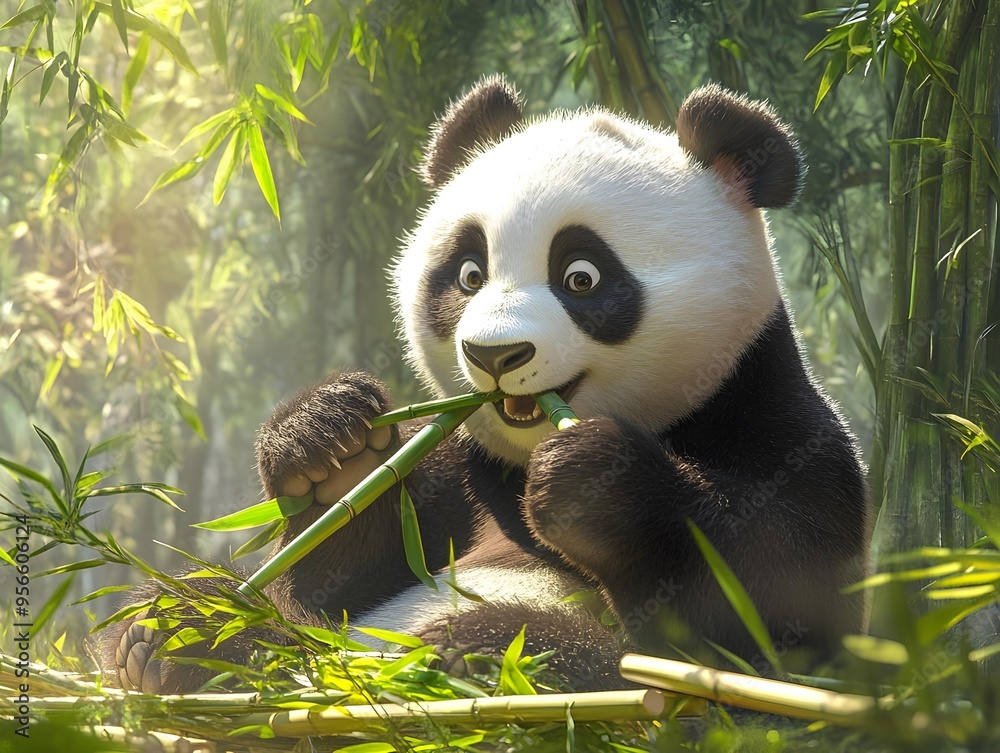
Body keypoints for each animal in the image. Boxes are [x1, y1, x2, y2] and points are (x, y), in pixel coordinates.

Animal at [102, 76, 870, 694]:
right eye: (469, 273)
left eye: (582, 276)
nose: (495, 353)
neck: (520, 464)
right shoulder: (460, 467)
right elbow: (333, 578)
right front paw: (329, 446)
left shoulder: (784, 432)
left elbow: (763, 622)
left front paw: (593, 481)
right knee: (250, 620)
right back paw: (175, 633)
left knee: (575, 659)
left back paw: (457, 653)